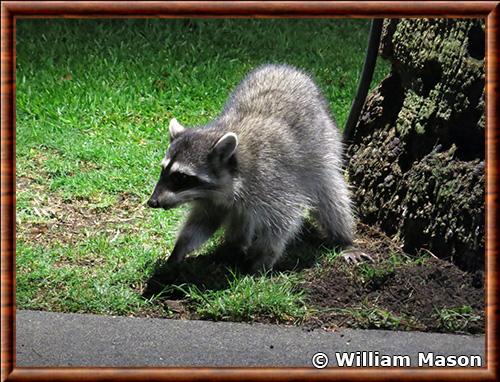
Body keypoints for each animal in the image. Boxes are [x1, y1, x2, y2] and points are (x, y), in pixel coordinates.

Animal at [146, 63, 354, 272]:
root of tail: (285, 67)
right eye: (163, 170)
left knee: (330, 196)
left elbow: (282, 222)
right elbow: (203, 222)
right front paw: (180, 248)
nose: (152, 202)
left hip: (325, 148)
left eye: (181, 177)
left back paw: (343, 238)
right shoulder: (211, 198)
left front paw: (263, 257)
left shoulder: (272, 181)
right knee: (241, 216)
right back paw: (235, 244)